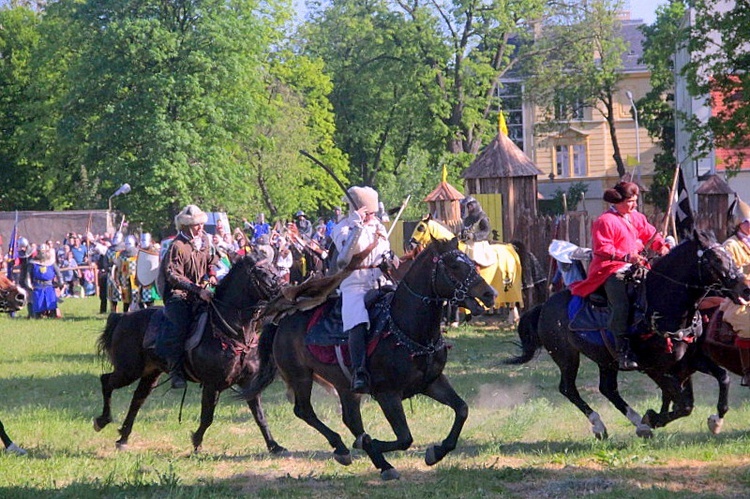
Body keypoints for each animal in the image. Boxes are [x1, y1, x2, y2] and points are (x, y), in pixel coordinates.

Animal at [96, 254, 288, 454]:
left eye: (274, 268)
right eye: (262, 273)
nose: (285, 291)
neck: (230, 330)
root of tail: (122, 318)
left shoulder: (248, 383)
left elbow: (260, 417)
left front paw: (274, 446)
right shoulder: (212, 384)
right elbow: (207, 417)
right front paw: (197, 441)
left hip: (150, 374)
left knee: (137, 400)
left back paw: (123, 438)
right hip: (129, 370)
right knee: (106, 381)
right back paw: (102, 421)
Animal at [244, 238, 496, 480]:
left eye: (472, 263)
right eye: (454, 265)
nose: (490, 294)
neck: (407, 328)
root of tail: (282, 319)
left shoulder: (432, 383)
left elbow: (462, 409)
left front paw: (437, 451)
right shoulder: (388, 395)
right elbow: (405, 438)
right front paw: (371, 444)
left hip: (344, 386)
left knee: (350, 419)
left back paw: (373, 459)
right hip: (301, 376)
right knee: (304, 411)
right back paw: (348, 449)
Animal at [508, 232, 748, 440]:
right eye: (716, 259)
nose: (744, 288)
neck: (663, 306)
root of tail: (544, 307)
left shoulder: (688, 362)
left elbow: (722, 378)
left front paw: (715, 420)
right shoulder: (654, 368)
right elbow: (684, 404)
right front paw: (653, 418)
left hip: (606, 360)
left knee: (608, 389)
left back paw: (636, 422)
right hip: (566, 356)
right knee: (568, 389)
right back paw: (600, 425)